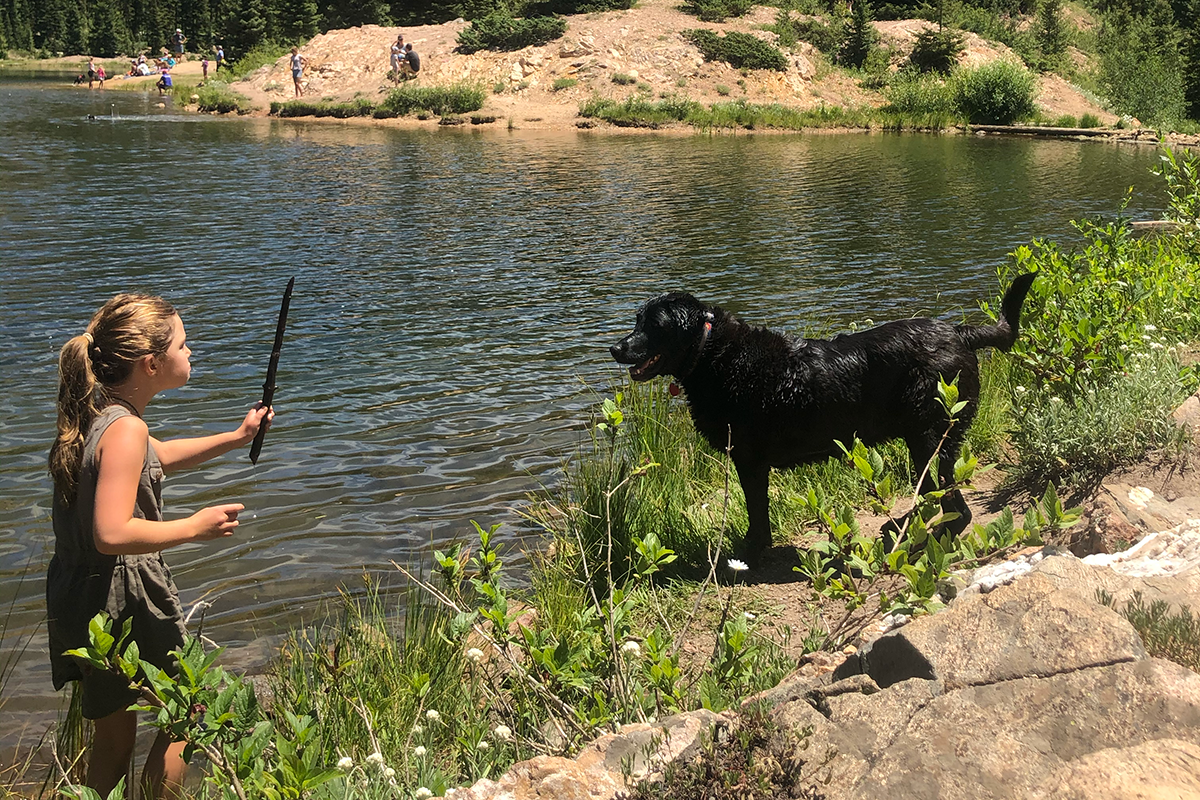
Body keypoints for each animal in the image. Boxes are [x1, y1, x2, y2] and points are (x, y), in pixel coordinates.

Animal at [614, 275, 1036, 568]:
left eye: (654, 326)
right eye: (636, 320)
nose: (616, 347)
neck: (712, 354)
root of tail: (960, 333)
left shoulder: (749, 461)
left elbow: (757, 514)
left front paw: (747, 556)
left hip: (930, 438)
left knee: (956, 508)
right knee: (934, 497)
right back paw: (899, 527)